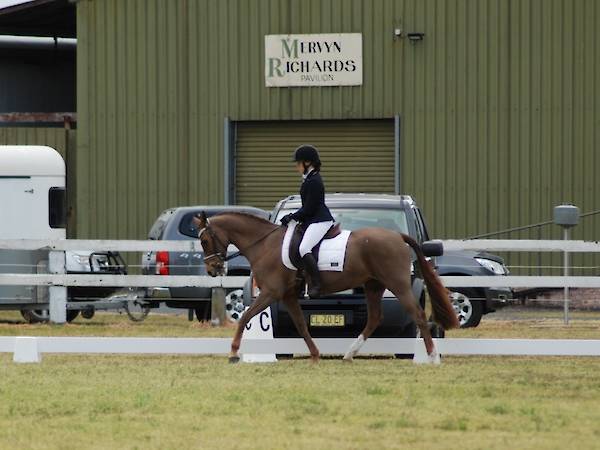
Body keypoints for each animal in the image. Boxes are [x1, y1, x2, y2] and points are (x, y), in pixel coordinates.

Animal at [193, 212, 459, 363]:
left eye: (204, 240)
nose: (213, 269)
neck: (265, 244)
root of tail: (397, 236)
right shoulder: (288, 296)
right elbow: (301, 325)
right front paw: (315, 354)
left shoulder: (270, 293)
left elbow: (245, 317)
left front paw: (233, 353)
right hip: (373, 286)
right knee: (375, 318)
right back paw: (349, 354)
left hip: (398, 285)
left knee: (418, 316)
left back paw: (432, 356)